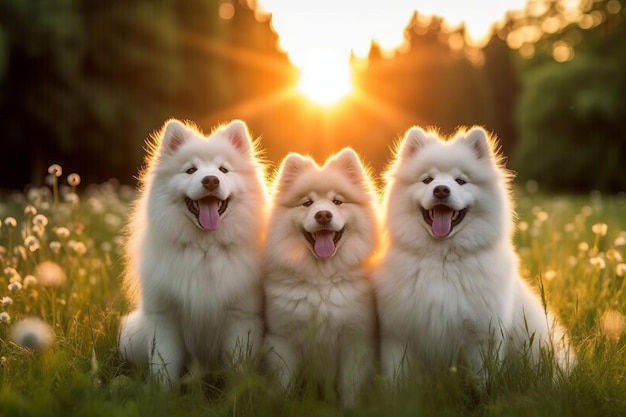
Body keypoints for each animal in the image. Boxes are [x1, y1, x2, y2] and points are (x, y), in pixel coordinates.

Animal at [118, 117, 266, 384]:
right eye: (190, 170)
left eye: (223, 170)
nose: (210, 180)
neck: (205, 249)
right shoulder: (165, 317)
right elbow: (164, 365)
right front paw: (162, 391)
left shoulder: (241, 318)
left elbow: (238, 365)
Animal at [262, 148, 378, 404]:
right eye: (307, 203)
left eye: (337, 201)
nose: (323, 215)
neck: (321, 280)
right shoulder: (283, 341)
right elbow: (285, 386)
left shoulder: (355, 341)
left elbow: (349, 389)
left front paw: (349, 408)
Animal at [372, 126, 572, 384]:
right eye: (427, 180)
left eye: (460, 181)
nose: (441, 190)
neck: (442, 262)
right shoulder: (396, 335)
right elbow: (396, 379)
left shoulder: (481, 337)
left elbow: (481, 381)